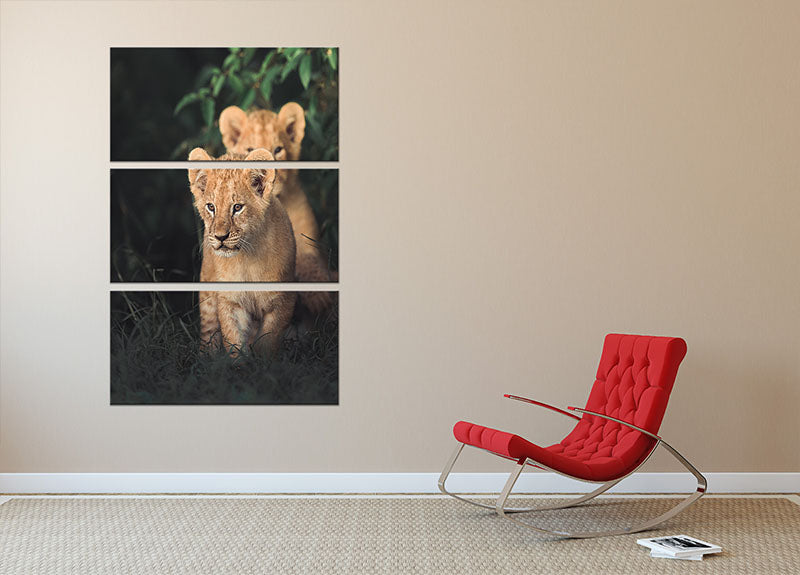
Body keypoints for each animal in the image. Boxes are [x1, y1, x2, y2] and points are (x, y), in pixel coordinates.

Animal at [187, 147, 296, 356]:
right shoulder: (230, 301)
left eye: (237, 207)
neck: (247, 259)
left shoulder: (282, 301)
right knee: (209, 331)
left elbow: (268, 343)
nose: (220, 237)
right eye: (211, 207)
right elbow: (234, 341)